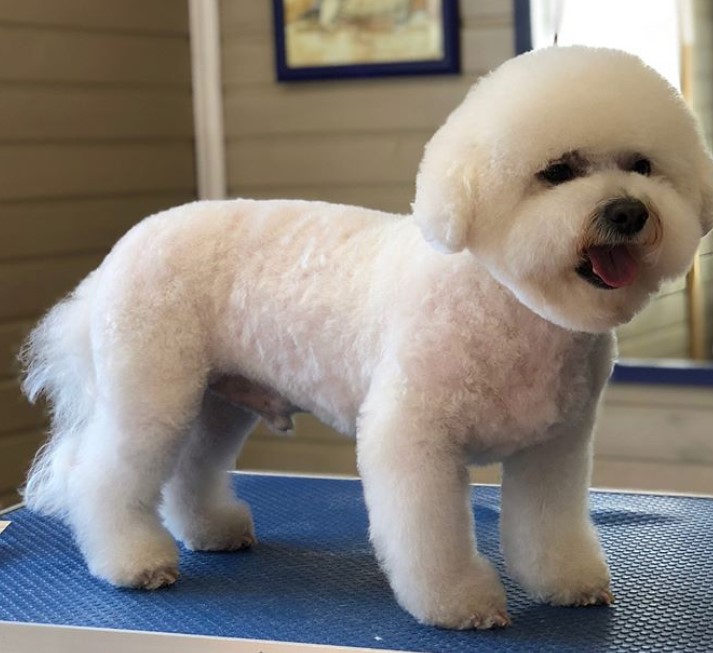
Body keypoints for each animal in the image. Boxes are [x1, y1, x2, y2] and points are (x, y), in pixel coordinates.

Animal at [20, 45, 712, 628]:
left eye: (643, 166)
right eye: (558, 171)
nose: (628, 211)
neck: (510, 304)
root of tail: (122, 251)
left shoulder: (555, 447)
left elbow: (549, 526)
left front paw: (565, 582)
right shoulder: (412, 439)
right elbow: (429, 537)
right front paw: (459, 603)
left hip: (217, 400)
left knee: (192, 469)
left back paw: (211, 530)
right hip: (152, 392)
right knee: (105, 478)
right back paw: (132, 561)